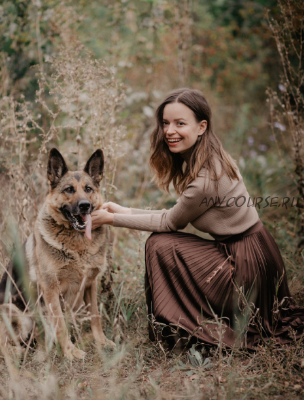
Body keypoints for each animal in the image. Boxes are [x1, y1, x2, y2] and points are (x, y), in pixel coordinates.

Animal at [0, 148, 115, 360]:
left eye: (88, 189)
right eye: (69, 189)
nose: (85, 205)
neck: (77, 242)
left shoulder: (90, 284)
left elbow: (95, 316)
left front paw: (102, 342)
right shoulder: (51, 289)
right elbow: (61, 324)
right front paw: (71, 352)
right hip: (10, 309)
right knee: (6, 345)